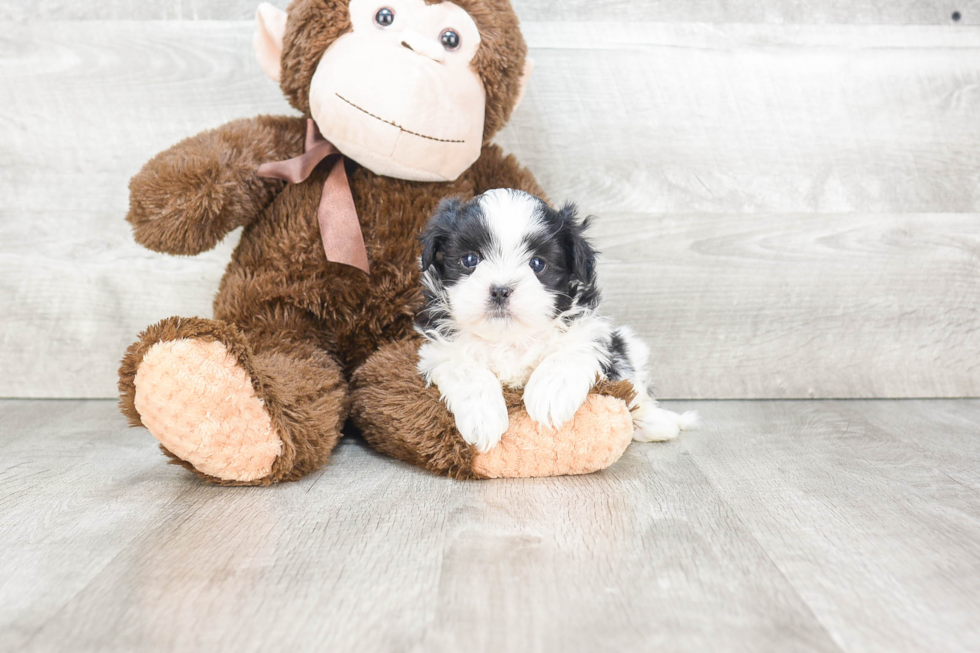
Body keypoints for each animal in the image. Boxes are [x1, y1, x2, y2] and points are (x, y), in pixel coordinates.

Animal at [414, 188, 696, 450]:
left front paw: (550, 394)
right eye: (470, 259)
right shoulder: (438, 349)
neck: (509, 339)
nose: (501, 290)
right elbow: (466, 369)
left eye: (537, 264)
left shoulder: (589, 331)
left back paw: (656, 421)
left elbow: (568, 354)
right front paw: (483, 417)